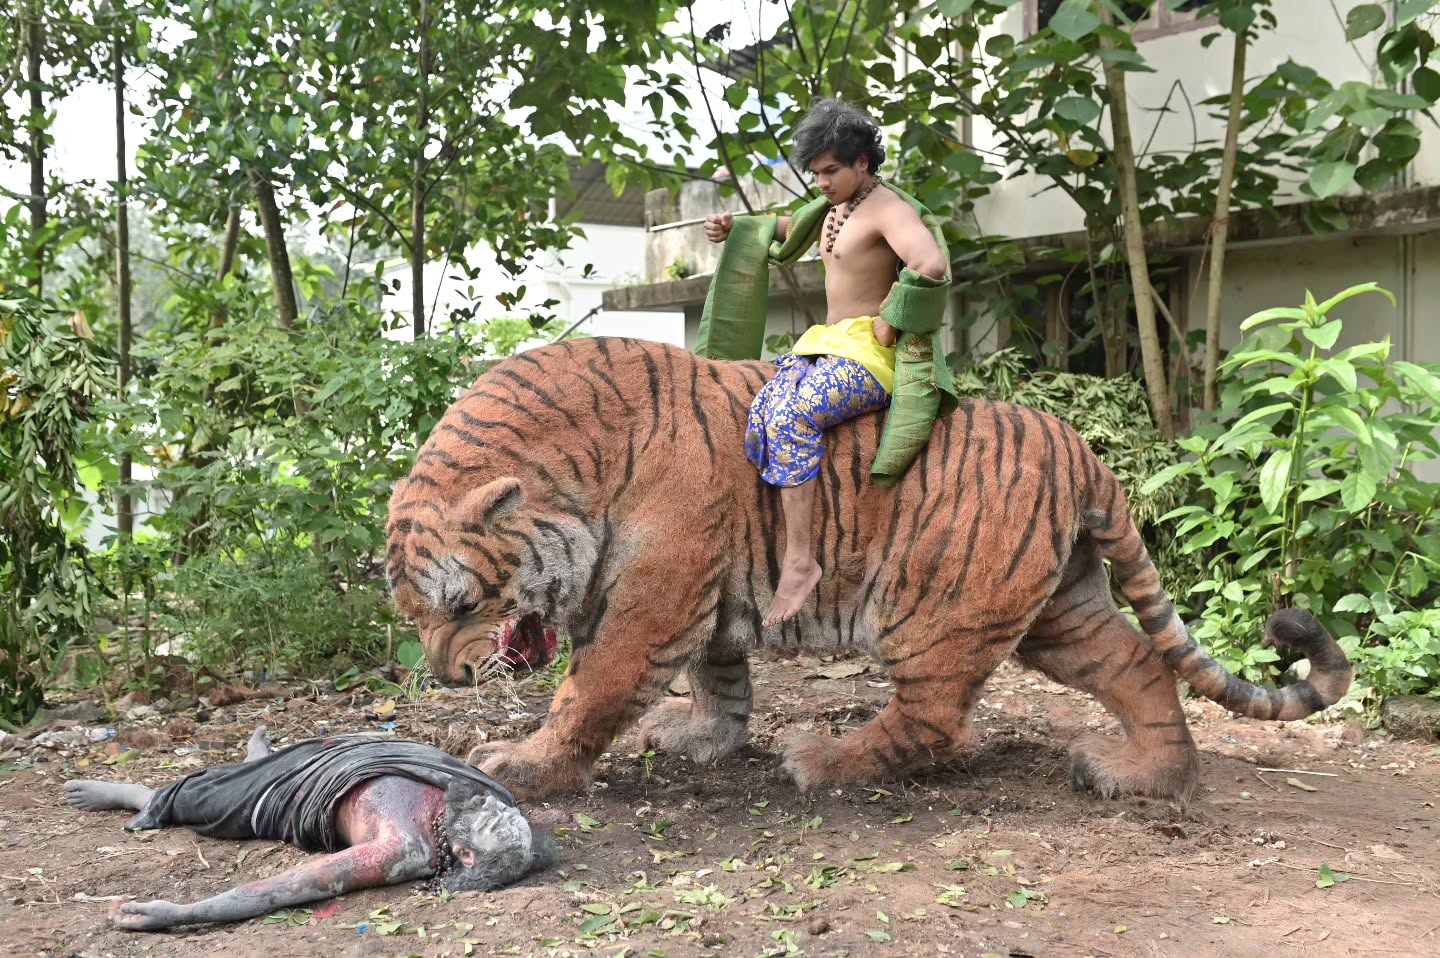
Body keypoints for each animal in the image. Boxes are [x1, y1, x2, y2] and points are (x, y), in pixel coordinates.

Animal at [385, 337, 1352, 802]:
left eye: (461, 602)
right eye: (414, 616)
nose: (450, 676)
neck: (573, 471)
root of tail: (1083, 452)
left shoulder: (651, 602)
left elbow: (590, 693)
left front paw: (521, 766)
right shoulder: (703, 592)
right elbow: (720, 679)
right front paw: (701, 738)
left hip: (934, 610)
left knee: (938, 723)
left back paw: (824, 761)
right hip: (1059, 613)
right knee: (1140, 665)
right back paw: (1147, 777)